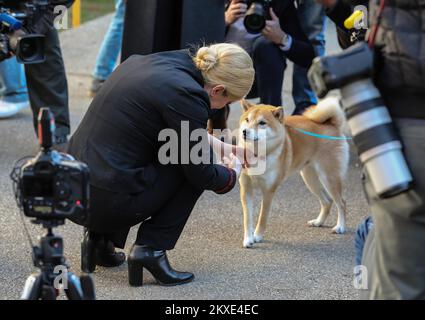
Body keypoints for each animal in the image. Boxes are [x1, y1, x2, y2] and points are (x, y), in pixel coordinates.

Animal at [237, 99, 350, 249]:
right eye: (247, 120)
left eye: (262, 123)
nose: (245, 132)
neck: (257, 154)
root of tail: (331, 124)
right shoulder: (246, 189)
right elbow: (247, 217)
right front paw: (248, 239)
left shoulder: (268, 191)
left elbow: (262, 217)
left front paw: (257, 236)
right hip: (310, 178)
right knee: (327, 201)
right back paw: (318, 222)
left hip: (329, 178)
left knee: (341, 203)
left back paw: (340, 227)